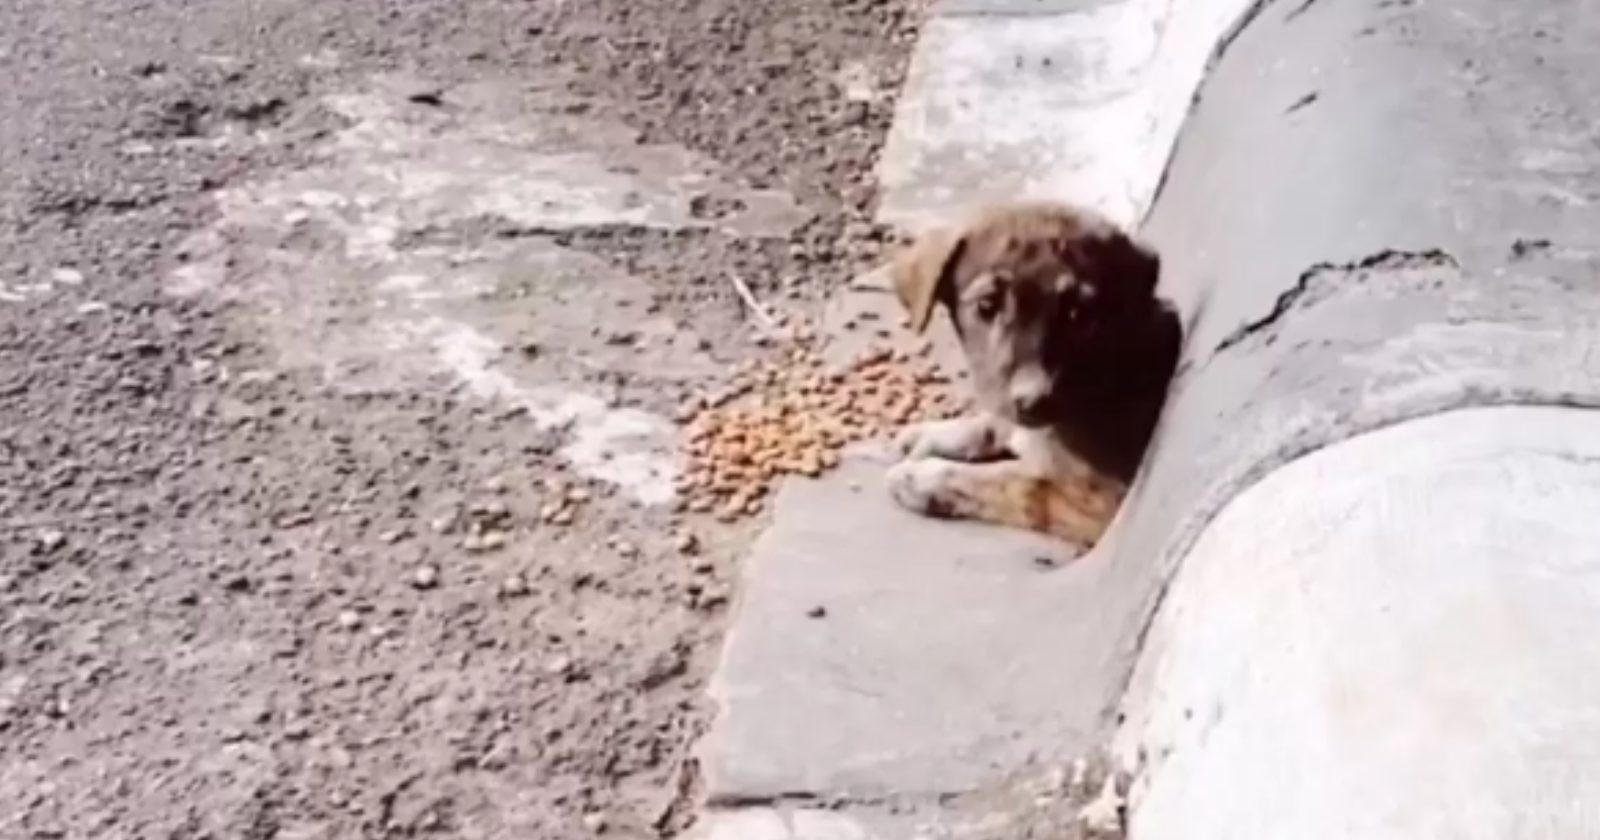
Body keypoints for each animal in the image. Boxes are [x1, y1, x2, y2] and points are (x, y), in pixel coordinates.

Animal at [896, 200, 1184, 547]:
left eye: (1077, 314)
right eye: (986, 305)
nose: (1035, 401)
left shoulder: (1100, 503)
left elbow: (1017, 484)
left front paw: (924, 478)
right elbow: (994, 423)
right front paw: (934, 434)